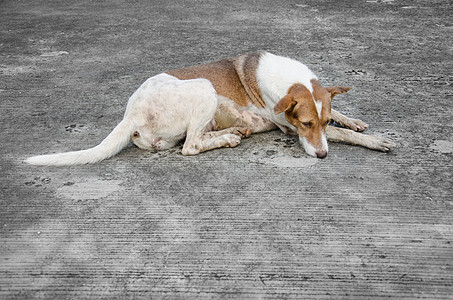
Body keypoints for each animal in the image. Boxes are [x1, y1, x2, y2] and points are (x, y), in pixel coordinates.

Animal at [24, 50, 394, 165]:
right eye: (305, 125)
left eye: (322, 120)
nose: (321, 156)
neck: (290, 79)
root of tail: (131, 112)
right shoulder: (287, 126)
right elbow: (343, 137)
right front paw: (375, 140)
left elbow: (340, 120)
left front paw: (354, 121)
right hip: (204, 87)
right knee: (189, 147)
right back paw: (229, 137)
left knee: (196, 139)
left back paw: (232, 131)